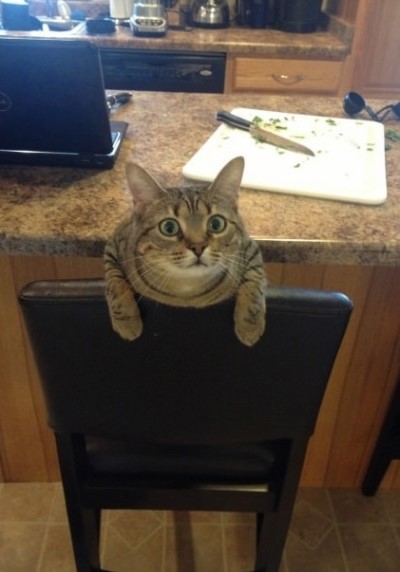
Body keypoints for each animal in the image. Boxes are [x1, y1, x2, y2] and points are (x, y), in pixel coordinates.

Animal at [104, 156, 267, 346]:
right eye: (169, 227)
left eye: (216, 224)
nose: (198, 247)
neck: (186, 291)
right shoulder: (114, 245)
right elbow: (115, 282)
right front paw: (127, 320)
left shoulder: (249, 247)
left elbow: (254, 283)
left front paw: (249, 326)